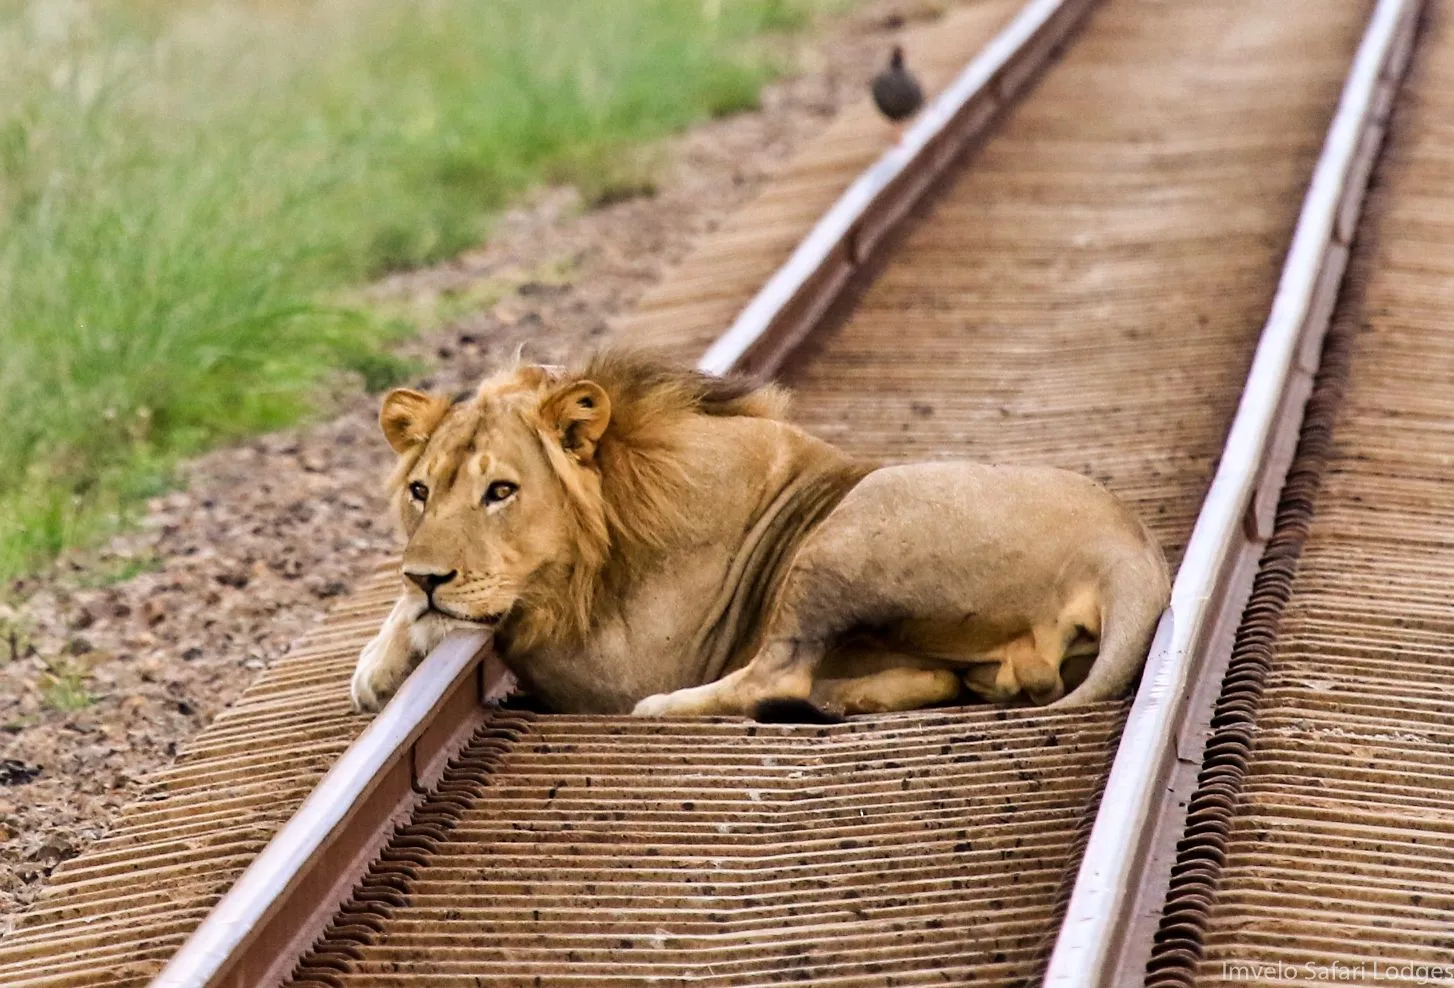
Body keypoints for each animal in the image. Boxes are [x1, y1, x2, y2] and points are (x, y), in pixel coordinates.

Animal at [350, 350, 1170, 720]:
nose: (428, 576)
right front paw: (381, 660)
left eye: (502, 491)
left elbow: (511, 615)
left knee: (779, 671)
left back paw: (681, 709)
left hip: (852, 526)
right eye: (421, 491)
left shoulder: (629, 660)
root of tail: (1127, 550)